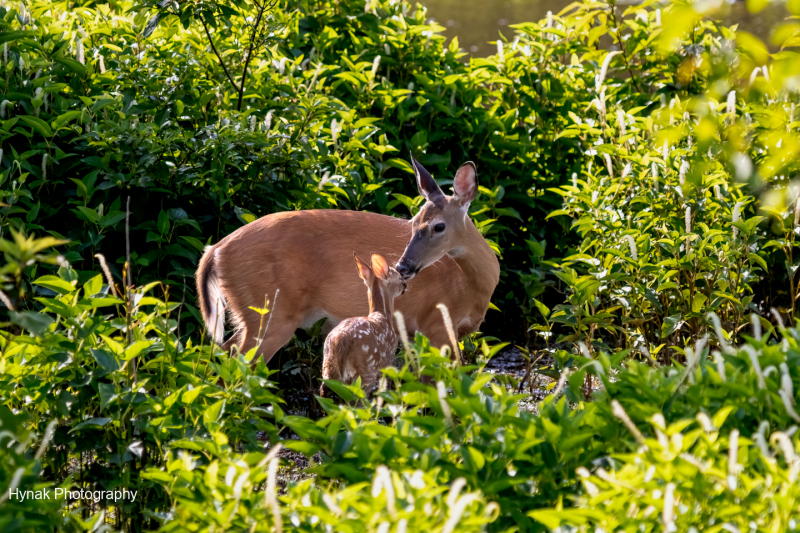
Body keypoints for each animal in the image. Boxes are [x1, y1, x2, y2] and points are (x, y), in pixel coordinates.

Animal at [195, 154, 500, 362]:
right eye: (413, 223)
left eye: (438, 226)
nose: (402, 266)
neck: (472, 287)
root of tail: (215, 250)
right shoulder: (436, 324)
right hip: (270, 310)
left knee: (223, 351)